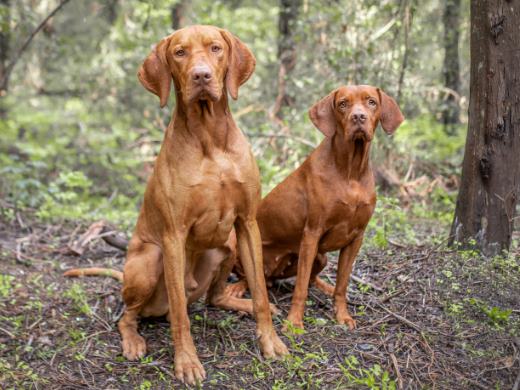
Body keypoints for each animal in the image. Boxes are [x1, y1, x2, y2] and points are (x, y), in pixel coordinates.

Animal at [66, 25, 288, 386]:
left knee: (214, 297)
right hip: (149, 260)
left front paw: (270, 340)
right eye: (179, 53)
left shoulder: (247, 223)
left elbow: (262, 293)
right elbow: (181, 317)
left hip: (227, 244)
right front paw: (187, 363)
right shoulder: (173, 236)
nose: (201, 75)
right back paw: (133, 340)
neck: (210, 139)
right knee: (129, 314)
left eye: (215, 48)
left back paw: (241, 303)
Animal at [229, 84, 406, 330]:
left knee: (312, 279)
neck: (350, 171)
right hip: (244, 246)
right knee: (253, 278)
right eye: (343, 104)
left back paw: (325, 288)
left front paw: (342, 315)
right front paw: (294, 322)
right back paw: (238, 288)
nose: (358, 117)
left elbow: (342, 284)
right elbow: (301, 287)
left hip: (321, 257)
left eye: (371, 102)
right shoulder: (312, 233)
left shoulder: (356, 237)